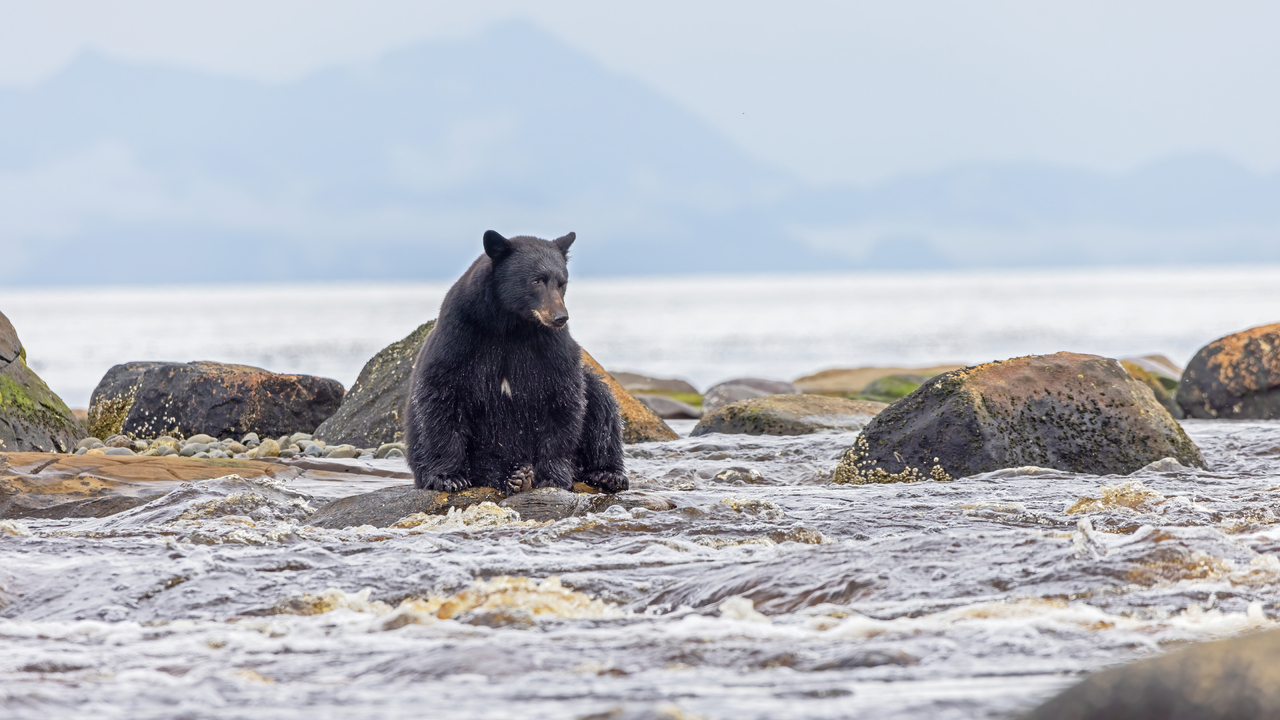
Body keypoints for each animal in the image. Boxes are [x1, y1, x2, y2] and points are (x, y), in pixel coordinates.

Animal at [405, 230, 628, 495]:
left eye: (562, 282)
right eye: (536, 280)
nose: (560, 317)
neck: (511, 325)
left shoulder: (552, 348)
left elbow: (563, 399)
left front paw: (552, 476)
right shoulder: (459, 337)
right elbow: (441, 396)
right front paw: (449, 477)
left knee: (602, 404)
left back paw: (607, 474)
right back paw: (513, 476)